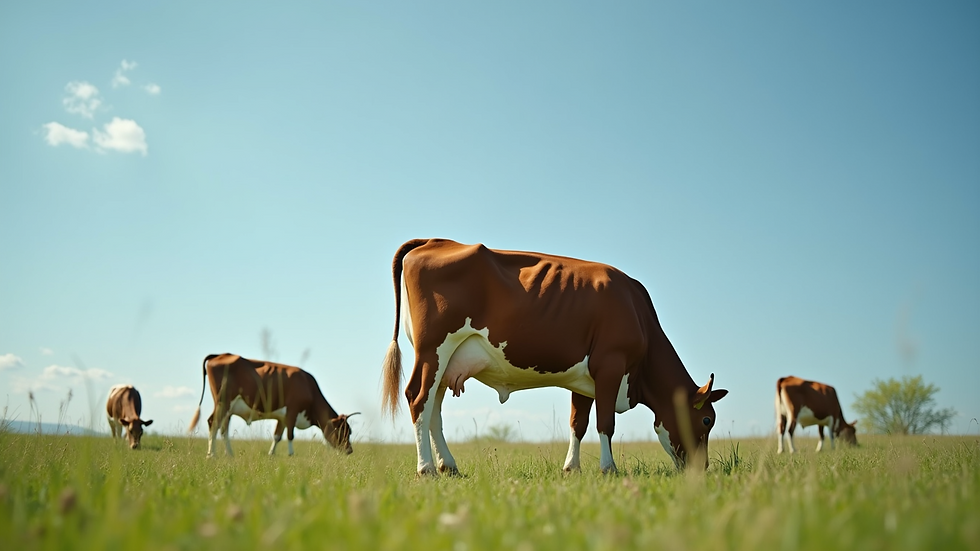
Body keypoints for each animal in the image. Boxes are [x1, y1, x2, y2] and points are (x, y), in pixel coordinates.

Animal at [187, 353, 359, 457]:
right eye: (344, 431)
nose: (350, 450)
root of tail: (222, 354)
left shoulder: (282, 418)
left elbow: (277, 436)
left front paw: (271, 455)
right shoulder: (292, 412)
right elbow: (290, 436)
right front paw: (291, 455)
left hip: (228, 409)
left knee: (223, 429)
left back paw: (229, 455)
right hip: (223, 402)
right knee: (213, 423)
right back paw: (211, 455)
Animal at [381, 238, 728, 476]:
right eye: (707, 420)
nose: (702, 468)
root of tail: (436, 240)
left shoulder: (586, 378)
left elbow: (579, 423)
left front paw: (571, 469)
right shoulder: (610, 364)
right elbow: (606, 422)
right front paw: (608, 469)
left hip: (445, 361)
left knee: (434, 409)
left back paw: (448, 466)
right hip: (433, 349)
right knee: (418, 398)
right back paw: (426, 468)